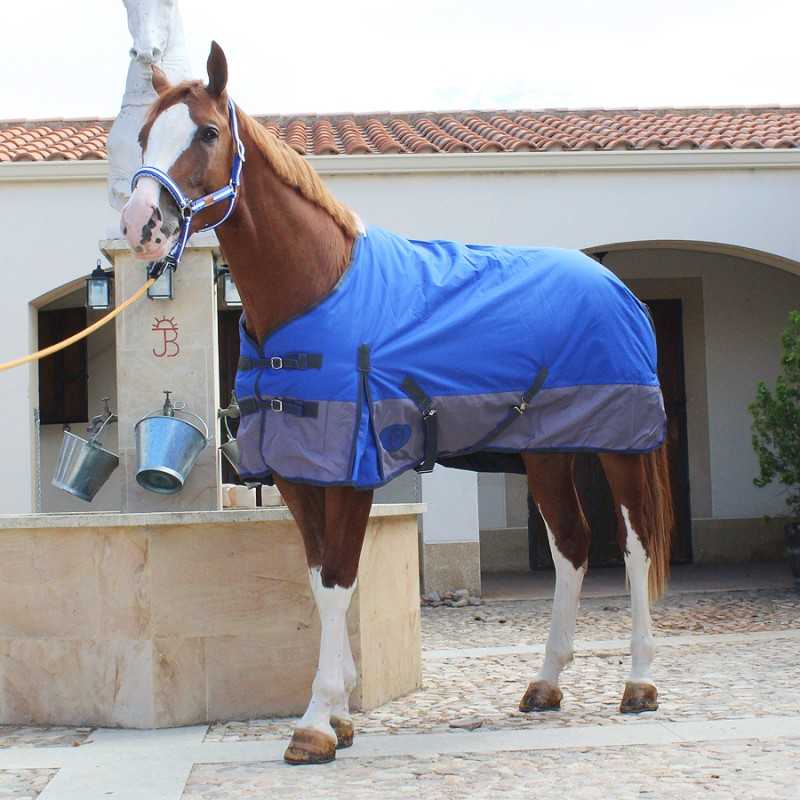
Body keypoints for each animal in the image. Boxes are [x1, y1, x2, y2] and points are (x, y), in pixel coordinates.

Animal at [120, 42, 674, 766]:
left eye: (208, 133)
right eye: (142, 135)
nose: (140, 225)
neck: (316, 288)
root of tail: (619, 287)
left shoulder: (352, 471)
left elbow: (338, 578)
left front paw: (316, 723)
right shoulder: (298, 475)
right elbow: (318, 581)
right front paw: (339, 713)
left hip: (619, 447)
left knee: (634, 546)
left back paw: (639, 682)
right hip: (547, 453)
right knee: (572, 547)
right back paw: (546, 683)